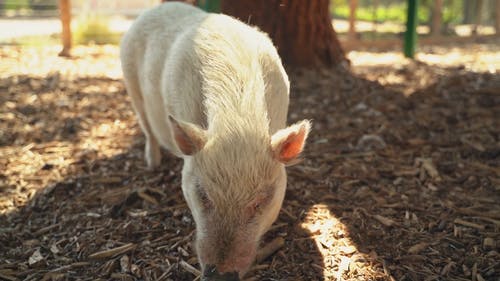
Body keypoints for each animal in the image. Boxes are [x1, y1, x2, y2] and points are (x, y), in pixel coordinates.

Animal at [119, 2, 310, 280]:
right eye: (203, 195)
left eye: (260, 202)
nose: (219, 274)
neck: (237, 121)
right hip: (131, 85)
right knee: (147, 130)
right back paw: (153, 164)